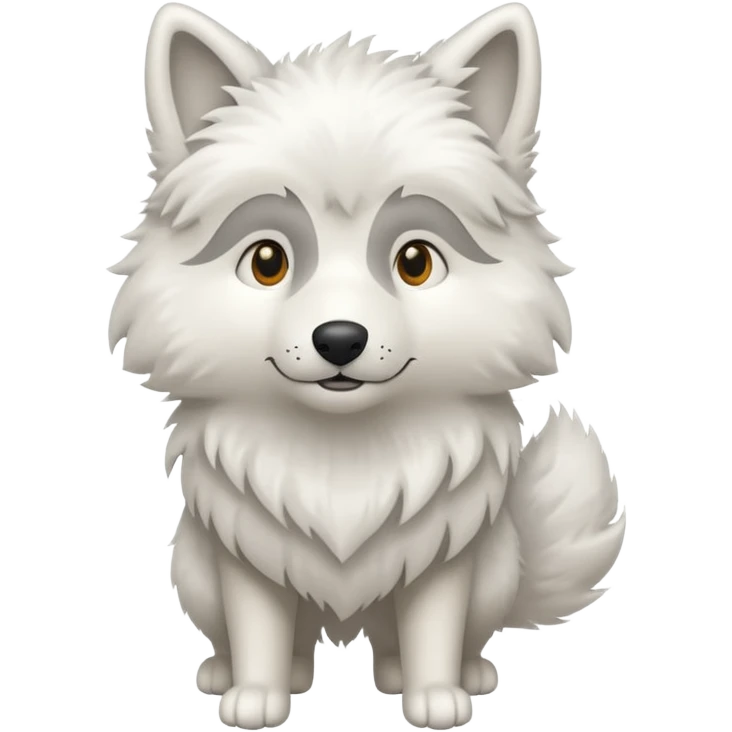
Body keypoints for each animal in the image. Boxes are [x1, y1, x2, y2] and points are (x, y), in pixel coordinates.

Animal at [109, 3, 626, 729]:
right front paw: (257, 696)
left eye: (415, 262)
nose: (340, 338)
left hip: (494, 567)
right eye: (267, 261)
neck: (345, 458)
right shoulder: (247, 558)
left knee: (426, 637)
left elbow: (435, 624)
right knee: (285, 640)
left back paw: (453, 673)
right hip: (192, 566)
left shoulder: (445, 555)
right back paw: (239, 673)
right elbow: (260, 626)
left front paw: (436, 697)